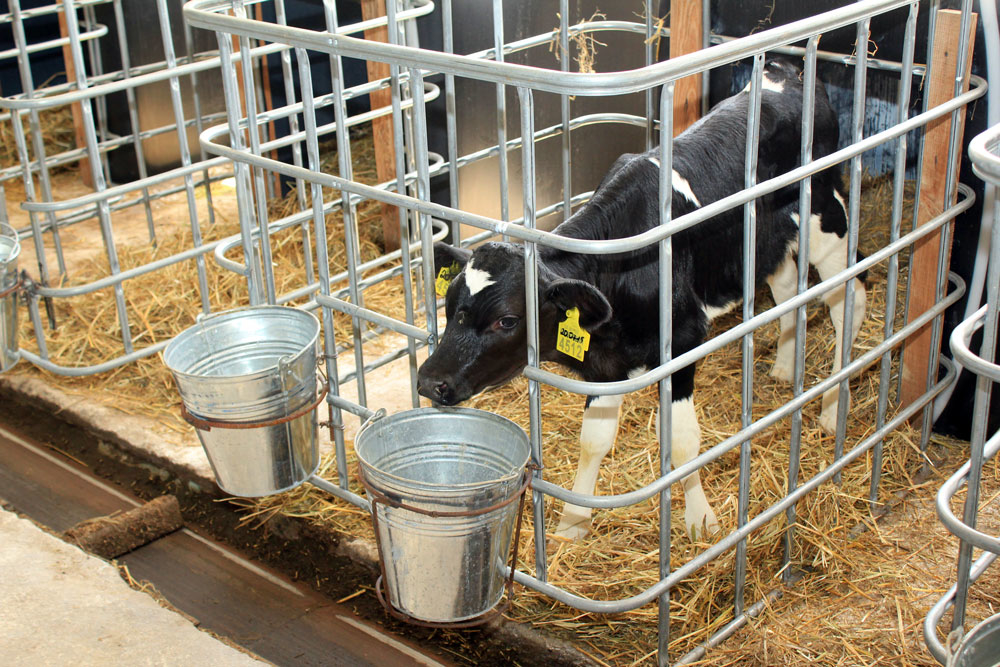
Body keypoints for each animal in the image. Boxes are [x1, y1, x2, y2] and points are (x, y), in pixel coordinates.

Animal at [416, 59, 866, 541]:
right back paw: (784, 367)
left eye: (506, 320)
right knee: (786, 286)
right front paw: (573, 523)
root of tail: (787, 69)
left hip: (825, 214)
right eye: (449, 305)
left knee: (848, 297)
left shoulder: (684, 339)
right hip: (763, 241)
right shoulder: (605, 365)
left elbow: (684, 444)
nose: (428, 381)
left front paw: (700, 520)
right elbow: (592, 441)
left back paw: (834, 406)